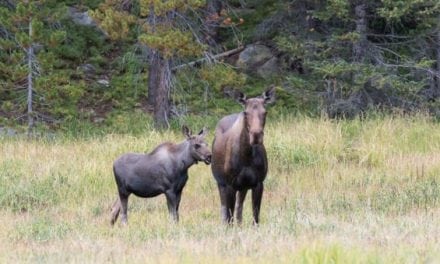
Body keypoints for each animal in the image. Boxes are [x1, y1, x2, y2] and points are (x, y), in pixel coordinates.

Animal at [211, 86, 276, 225]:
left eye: (265, 112)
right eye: (246, 113)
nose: (256, 135)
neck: (246, 156)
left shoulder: (258, 183)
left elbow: (255, 218)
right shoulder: (229, 185)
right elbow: (229, 218)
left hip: (243, 187)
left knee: (238, 209)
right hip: (221, 183)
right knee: (224, 210)